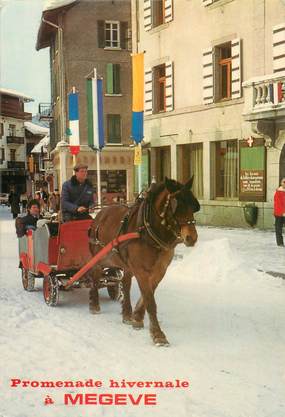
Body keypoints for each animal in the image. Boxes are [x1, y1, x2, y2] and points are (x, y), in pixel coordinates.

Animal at [87, 176, 199, 344]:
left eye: (193, 206)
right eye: (176, 206)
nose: (191, 238)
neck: (148, 231)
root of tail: (99, 214)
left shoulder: (160, 270)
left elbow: (148, 295)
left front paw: (137, 317)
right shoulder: (140, 270)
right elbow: (150, 301)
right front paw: (158, 334)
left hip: (125, 264)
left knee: (125, 284)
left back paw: (127, 313)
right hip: (100, 258)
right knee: (95, 276)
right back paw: (94, 304)